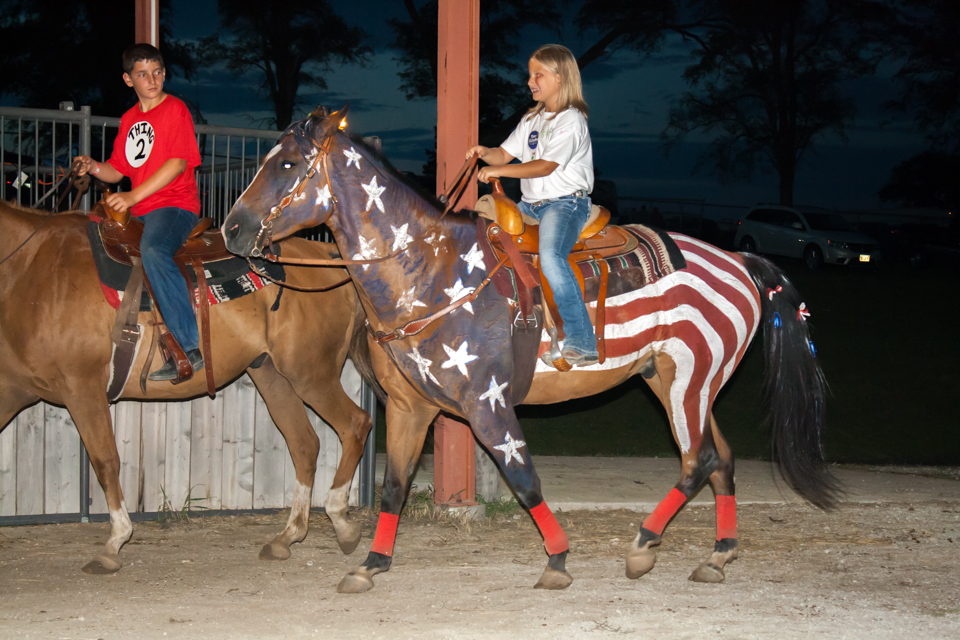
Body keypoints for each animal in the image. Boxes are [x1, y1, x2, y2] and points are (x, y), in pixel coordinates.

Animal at [0, 200, 374, 576]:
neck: (32, 267)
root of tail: (327, 255)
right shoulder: (13, 389)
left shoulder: (82, 387)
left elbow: (105, 460)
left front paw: (114, 543)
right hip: (272, 376)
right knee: (304, 445)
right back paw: (288, 537)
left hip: (311, 374)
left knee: (355, 424)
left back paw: (341, 521)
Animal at [221, 104, 836, 592]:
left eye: (286, 164)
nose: (231, 229)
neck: (432, 272)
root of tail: (740, 260)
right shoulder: (410, 407)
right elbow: (394, 487)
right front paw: (370, 564)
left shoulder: (487, 403)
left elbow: (524, 480)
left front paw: (558, 560)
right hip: (674, 380)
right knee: (719, 459)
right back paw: (717, 556)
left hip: (690, 377)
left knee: (700, 459)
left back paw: (642, 546)